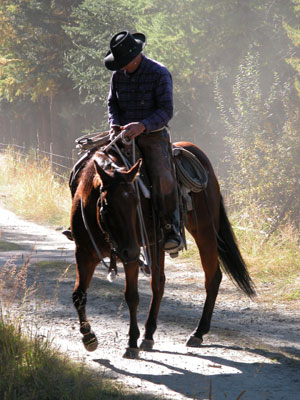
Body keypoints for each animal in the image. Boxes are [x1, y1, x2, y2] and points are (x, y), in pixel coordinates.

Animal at [70, 141, 255, 360]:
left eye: (136, 204)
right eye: (106, 207)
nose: (132, 251)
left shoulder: (130, 257)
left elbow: (131, 296)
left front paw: (131, 343)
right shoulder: (84, 253)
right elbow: (79, 294)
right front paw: (88, 337)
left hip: (205, 232)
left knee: (212, 277)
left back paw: (198, 332)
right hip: (155, 244)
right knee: (159, 282)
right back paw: (149, 335)